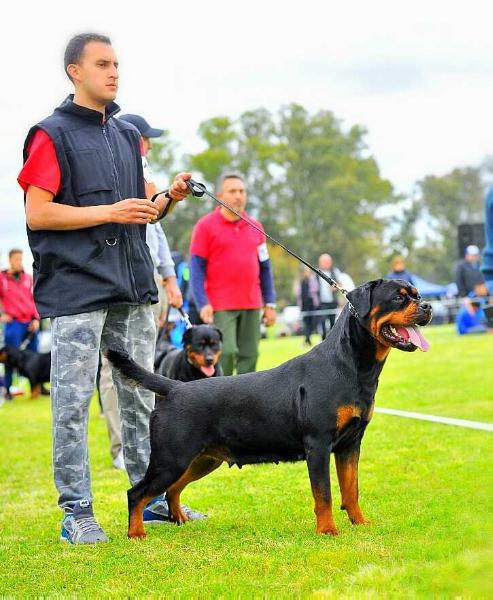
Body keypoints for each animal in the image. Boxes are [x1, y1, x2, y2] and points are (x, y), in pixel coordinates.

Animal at [107, 280, 430, 540]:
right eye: (399, 297)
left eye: (416, 295)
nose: (427, 305)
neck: (351, 365)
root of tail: (174, 388)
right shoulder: (318, 445)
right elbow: (324, 494)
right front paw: (328, 530)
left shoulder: (350, 443)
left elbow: (351, 489)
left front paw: (360, 522)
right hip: (171, 458)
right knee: (137, 492)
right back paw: (136, 533)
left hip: (200, 460)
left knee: (172, 489)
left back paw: (179, 520)